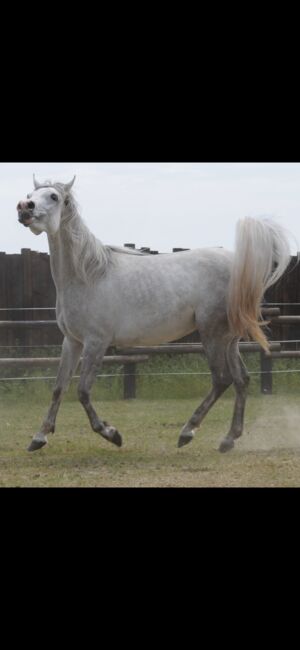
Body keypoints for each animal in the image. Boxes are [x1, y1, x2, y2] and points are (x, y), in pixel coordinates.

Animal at [17, 177, 290, 450]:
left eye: (53, 197)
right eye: (30, 194)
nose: (23, 208)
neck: (88, 275)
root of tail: (239, 266)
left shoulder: (96, 342)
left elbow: (83, 391)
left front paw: (111, 433)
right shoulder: (72, 341)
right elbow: (59, 387)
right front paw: (39, 437)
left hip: (212, 334)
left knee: (221, 379)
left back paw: (187, 432)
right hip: (228, 340)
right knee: (242, 379)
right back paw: (228, 439)